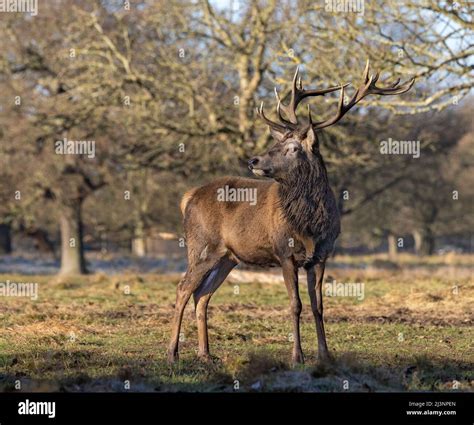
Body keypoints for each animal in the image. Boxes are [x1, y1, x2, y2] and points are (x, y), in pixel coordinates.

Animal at [168, 60, 412, 364]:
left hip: (227, 257)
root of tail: (188, 196)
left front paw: (325, 355)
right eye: (276, 143)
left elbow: (318, 306)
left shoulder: (321, 255)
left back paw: (206, 354)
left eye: (293, 147)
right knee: (182, 289)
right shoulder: (285, 253)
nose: (254, 160)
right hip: (201, 246)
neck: (310, 225)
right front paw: (297, 356)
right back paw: (172, 353)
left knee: (201, 295)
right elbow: (295, 304)